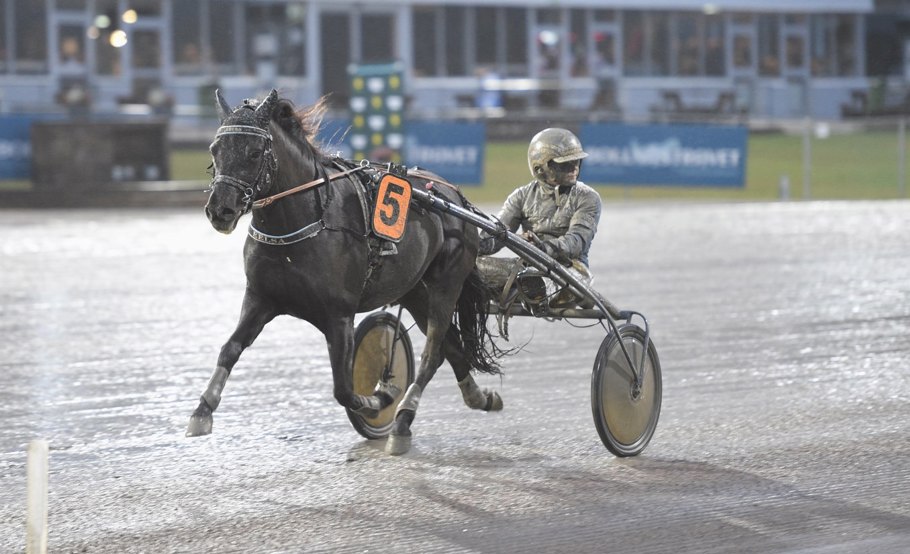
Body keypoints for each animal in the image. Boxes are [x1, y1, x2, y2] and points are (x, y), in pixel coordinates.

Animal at [186, 89, 504, 455]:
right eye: (215, 149)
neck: (304, 221)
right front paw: (202, 410)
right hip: (414, 290)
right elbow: (230, 348)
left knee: (431, 352)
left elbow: (344, 388)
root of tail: (455, 197)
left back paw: (402, 422)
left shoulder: (339, 315)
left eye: (253, 152)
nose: (219, 210)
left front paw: (380, 397)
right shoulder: (260, 298)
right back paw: (479, 397)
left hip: (445, 284)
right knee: (448, 347)